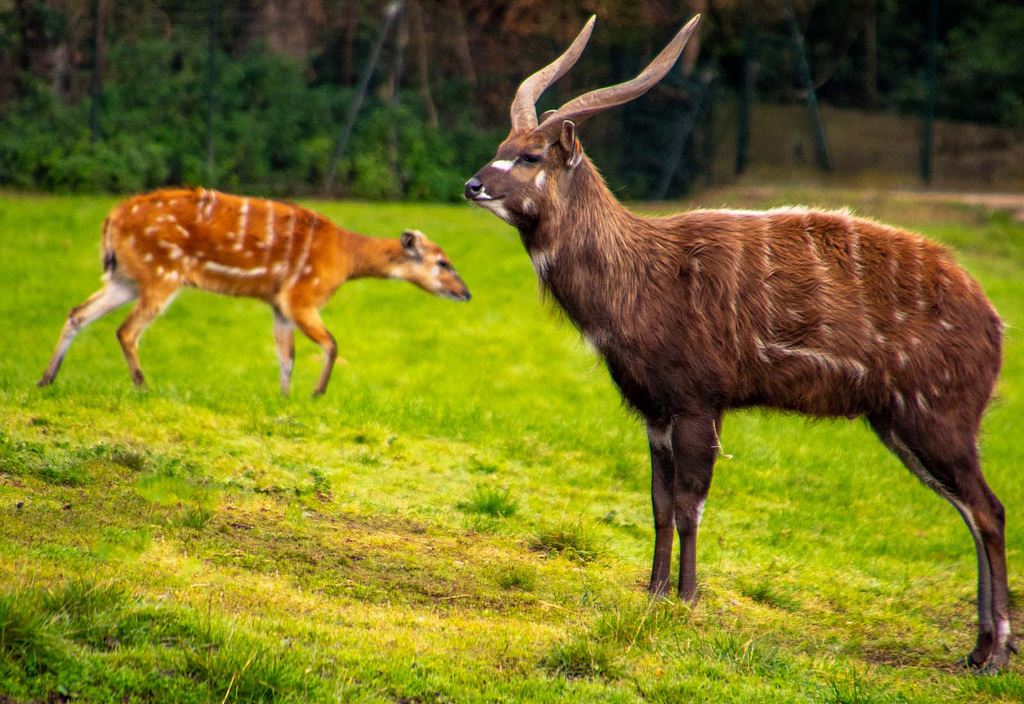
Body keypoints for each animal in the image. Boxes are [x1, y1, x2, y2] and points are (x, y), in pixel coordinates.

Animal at [37, 187, 468, 397]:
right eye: (442, 262)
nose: (466, 293)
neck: (344, 259)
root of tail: (111, 220)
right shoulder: (301, 295)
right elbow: (331, 344)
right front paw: (316, 393)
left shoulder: (279, 304)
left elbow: (286, 356)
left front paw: (285, 397)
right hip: (162, 273)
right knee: (127, 330)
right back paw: (143, 387)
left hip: (126, 277)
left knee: (77, 312)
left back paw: (46, 379)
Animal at [468, 15, 1011, 671]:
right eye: (501, 148)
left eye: (528, 156)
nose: (472, 185)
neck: (641, 277)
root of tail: (994, 320)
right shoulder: (655, 413)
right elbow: (658, 504)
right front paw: (652, 595)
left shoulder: (700, 401)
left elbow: (689, 504)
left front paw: (685, 601)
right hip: (902, 424)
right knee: (970, 508)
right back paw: (977, 650)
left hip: (936, 417)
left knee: (989, 509)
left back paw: (995, 654)